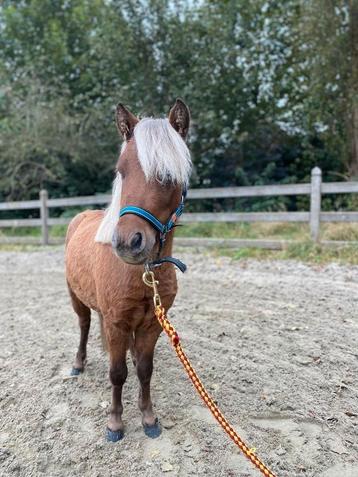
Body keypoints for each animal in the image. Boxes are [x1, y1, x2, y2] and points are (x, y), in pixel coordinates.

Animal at [65, 98, 192, 440]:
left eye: (167, 175)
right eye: (121, 171)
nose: (127, 243)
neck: (143, 273)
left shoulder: (152, 324)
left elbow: (145, 370)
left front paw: (148, 418)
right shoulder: (116, 323)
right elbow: (117, 373)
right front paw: (115, 423)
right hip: (76, 298)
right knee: (84, 326)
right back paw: (78, 364)